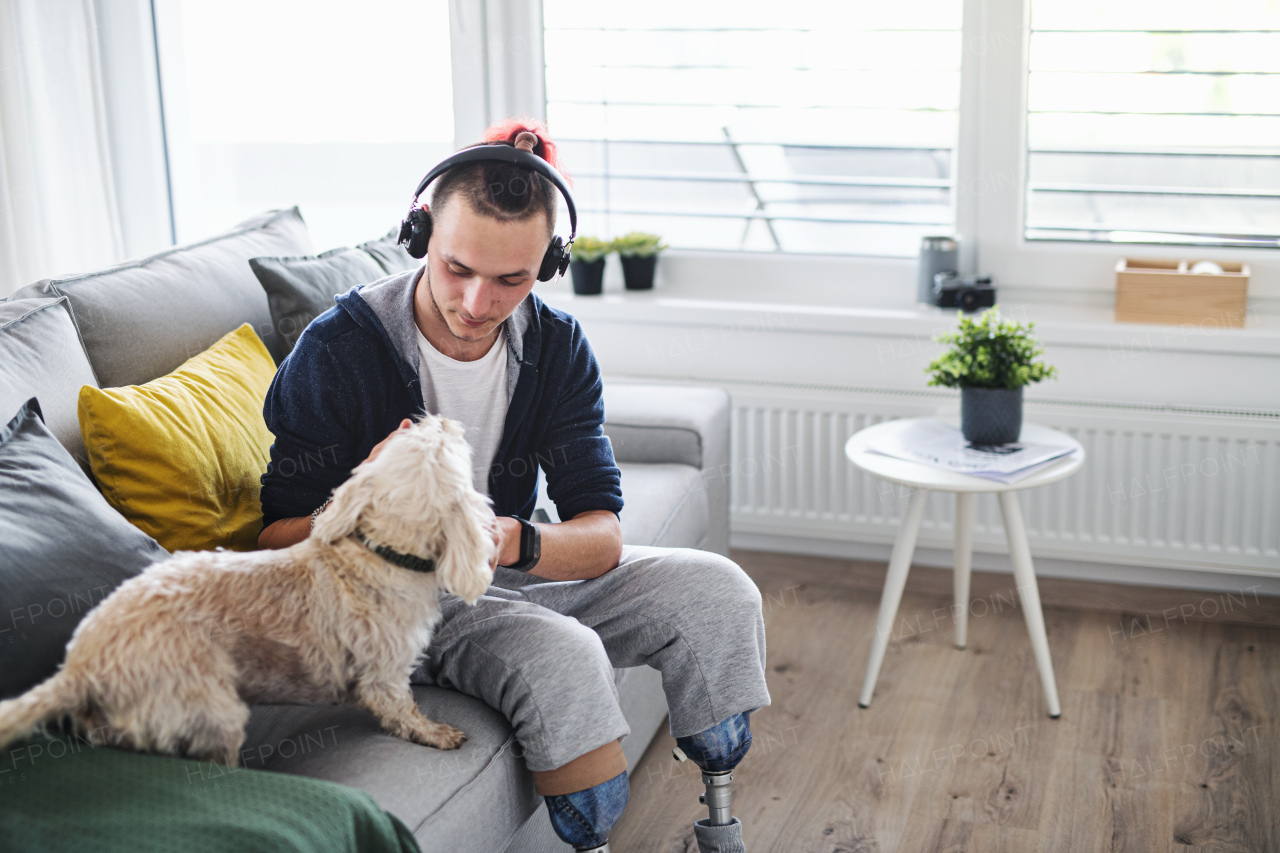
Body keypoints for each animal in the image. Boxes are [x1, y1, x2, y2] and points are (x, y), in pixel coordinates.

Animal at [0, 412, 494, 763]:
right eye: (447, 444)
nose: (439, 417)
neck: (377, 554)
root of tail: (80, 668)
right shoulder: (384, 676)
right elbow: (403, 713)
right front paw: (436, 733)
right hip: (212, 708)